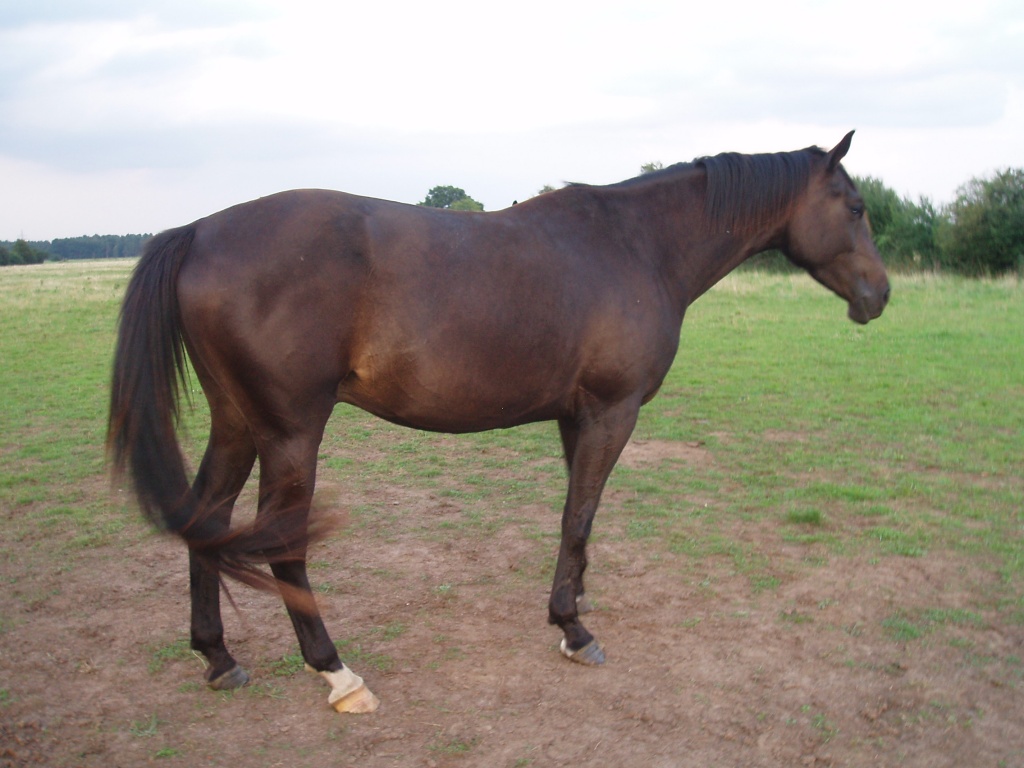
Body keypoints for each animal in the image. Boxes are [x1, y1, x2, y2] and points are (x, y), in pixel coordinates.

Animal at [108, 131, 889, 713]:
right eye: (854, 206)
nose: (879, 295)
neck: (637, 244)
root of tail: (200, 231)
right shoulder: (611, 412)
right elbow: (579, 513)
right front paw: (574, 628)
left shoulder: (577, 417)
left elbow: (580, 518)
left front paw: (574, 604)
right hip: (291, 434)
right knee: (282, 545)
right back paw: (337, 673)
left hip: (238, 424)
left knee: (206, 521)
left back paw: (218, 657)